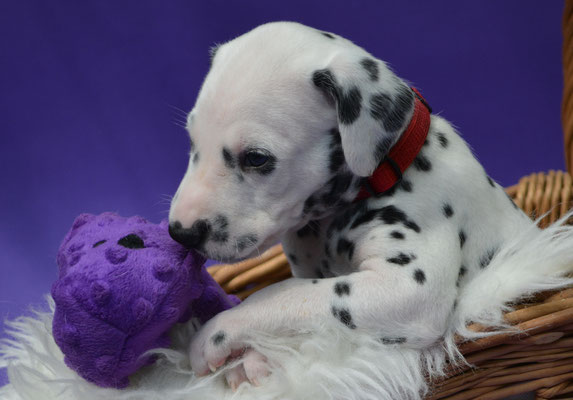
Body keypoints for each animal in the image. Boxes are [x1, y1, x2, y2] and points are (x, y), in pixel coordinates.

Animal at [166, 21, 532, 388]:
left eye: (256, 158)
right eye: (192, 140)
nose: (180, 233)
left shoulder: (409, 287)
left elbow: (287, 293)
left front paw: (217, 333)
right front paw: (252, 359)